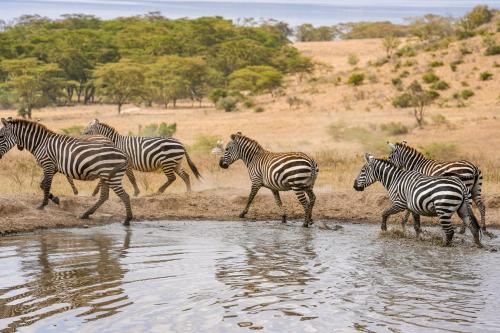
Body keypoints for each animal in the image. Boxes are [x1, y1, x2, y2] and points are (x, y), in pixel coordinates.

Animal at [0, 118, 134, 224]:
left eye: (0, 136)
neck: (40, 143)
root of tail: (123, 154)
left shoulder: (48, 165)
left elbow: (46, 184)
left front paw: (42, 205)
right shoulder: (53, 167)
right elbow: (42, 184)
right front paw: (55, 199)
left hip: (111, 176)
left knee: (125, 196)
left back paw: (127, 220)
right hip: (106, 176)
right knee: (104, 196)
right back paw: (86, 214)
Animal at [352, 153, 480, 246]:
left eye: (362, 171)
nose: (354, 186)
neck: (394, 179)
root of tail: (461, 184)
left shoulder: (399, 204)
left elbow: (384, 213)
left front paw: (384, 229)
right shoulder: (413, 207)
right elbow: (417, 226)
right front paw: (419, 238)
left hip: (443, 210)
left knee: (450, 231)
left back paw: (444, 245)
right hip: (463, 208)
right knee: (472, 225)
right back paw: (478, 244)